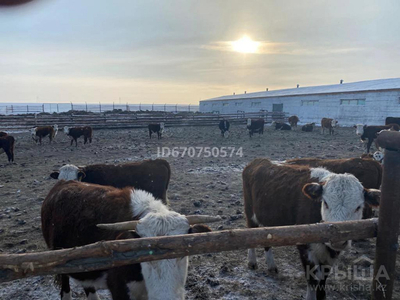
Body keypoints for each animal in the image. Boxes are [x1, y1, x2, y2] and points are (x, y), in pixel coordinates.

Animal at [242, 157, 380, 300]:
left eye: (358, 207)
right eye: (325, 203)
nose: (338, 240)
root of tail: (259, 161)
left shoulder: (331, 253)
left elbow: (323, 278)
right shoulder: (305, 247)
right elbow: (312, 278)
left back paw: (271, 266)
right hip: (250, 212)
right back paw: (252, 262)